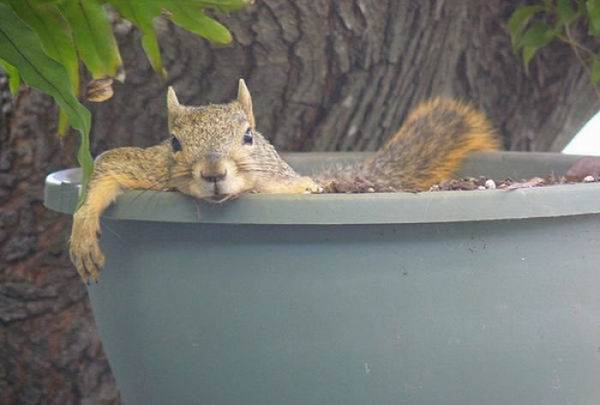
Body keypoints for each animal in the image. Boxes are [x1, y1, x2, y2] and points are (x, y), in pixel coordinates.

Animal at [68, 79, 500, 280]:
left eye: (248, 136)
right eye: (175, 142)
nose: (213, 173)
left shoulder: (281, 181)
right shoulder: (152, 167)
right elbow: (109, 164)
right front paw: (83, 230)